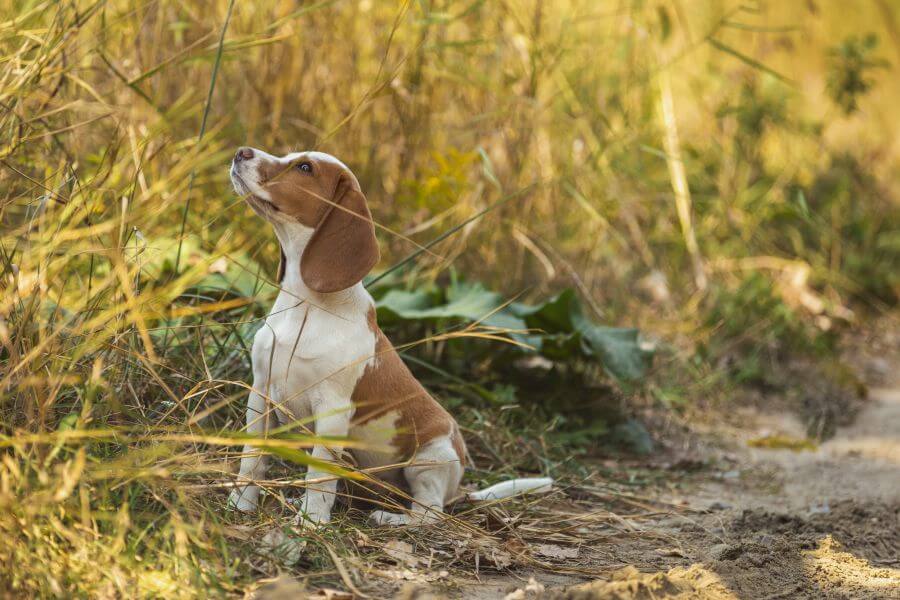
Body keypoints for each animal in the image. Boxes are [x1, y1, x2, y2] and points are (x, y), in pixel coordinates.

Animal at [227, 148, 548, 528]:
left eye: (304, 167)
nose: (241, 151)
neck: (304, 304)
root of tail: (458, 490)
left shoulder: (332, 410)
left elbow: (319, 475)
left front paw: (311, 522)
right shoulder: (260, 393)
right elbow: (252, 458)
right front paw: (242, 504)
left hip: (430, 459)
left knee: (429, 512)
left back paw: (389, 518)